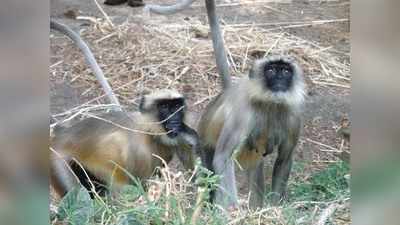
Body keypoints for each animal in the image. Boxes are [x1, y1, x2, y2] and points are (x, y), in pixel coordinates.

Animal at [50, 89, 199, 197]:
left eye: (176, 106)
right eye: (164, 107)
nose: (174, 120)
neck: (149, 132)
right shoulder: (139, 149)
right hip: (57, 161)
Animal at [198, 55, 306, 209]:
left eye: (286, 71)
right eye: (271, 70)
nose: (279, 79)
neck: (270, 104)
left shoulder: (294, 116)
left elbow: (284, 159)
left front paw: (275, 208)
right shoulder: (243, 112)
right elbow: (223, 157)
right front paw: (233, 210)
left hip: (254, 161)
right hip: (205, 145)